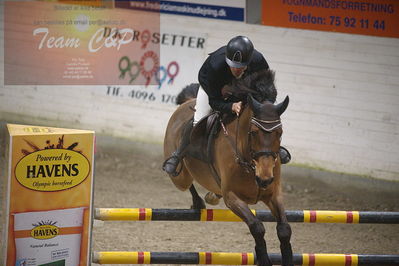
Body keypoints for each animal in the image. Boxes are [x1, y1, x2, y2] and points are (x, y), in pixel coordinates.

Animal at [163, 69, 294, 266]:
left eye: (280, 133)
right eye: (253, 132)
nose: (264, 179)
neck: (250, 162)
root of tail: (185, 104)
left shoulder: (274, 193)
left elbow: (284, 229)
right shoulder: (232, 197)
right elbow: (257, 226)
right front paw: (262, 257)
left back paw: (210, 196)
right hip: (180, 177)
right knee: (186, 182)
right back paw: (198, 200)